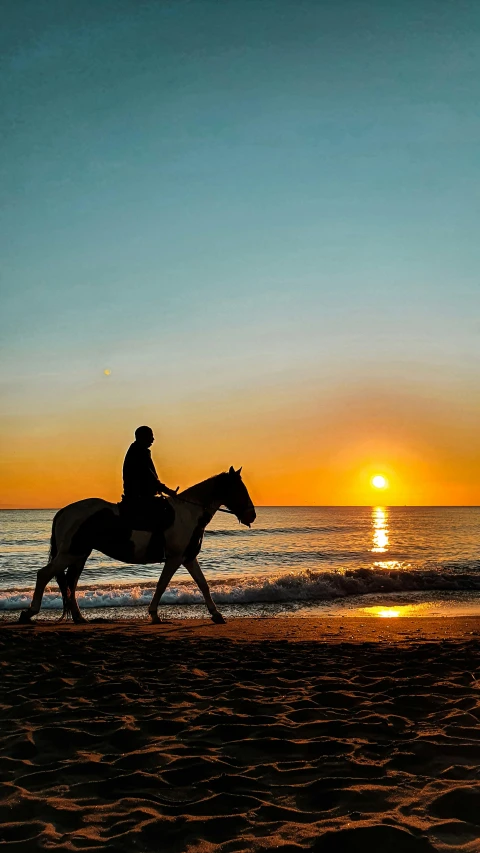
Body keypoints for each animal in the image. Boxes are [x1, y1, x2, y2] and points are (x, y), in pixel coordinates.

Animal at [19, 470, 255, 624]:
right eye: (239, 489)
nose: (252, 515)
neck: (189, 513)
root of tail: (63, 512)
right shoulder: (175, 558)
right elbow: (162, 585)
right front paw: (154, 614)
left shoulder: (188, 558)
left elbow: (203, 584)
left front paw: (216, 615)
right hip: (70, 554)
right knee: (44, 574)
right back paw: (29, 613)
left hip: (79, 555)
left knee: (71, 583)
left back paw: (78, 617)